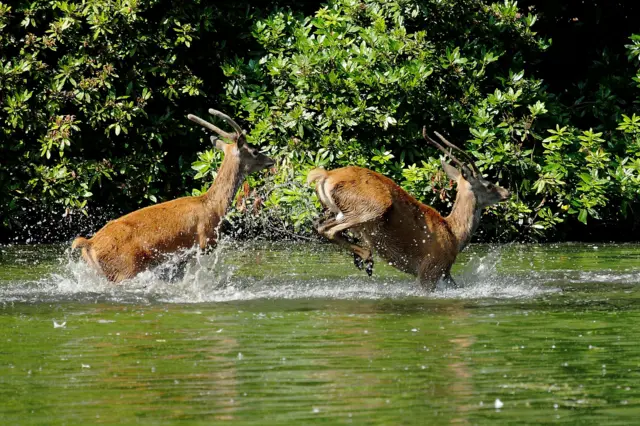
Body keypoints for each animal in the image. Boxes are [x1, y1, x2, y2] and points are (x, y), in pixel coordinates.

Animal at [71, 109, 275, 283]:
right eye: (255, 151)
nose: (271, 160)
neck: (214, 207)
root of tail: (89, 244)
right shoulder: (203, 244)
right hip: (125, 269)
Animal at [306, 127, 510, 291]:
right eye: (488, 185)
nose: (506, 192)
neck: (454, 234)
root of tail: (326, 175)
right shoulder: (431, 268)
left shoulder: (445, 273)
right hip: (373, 206)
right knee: (327, 229)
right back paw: (366, 258)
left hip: (338, 210)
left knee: (319, 224)